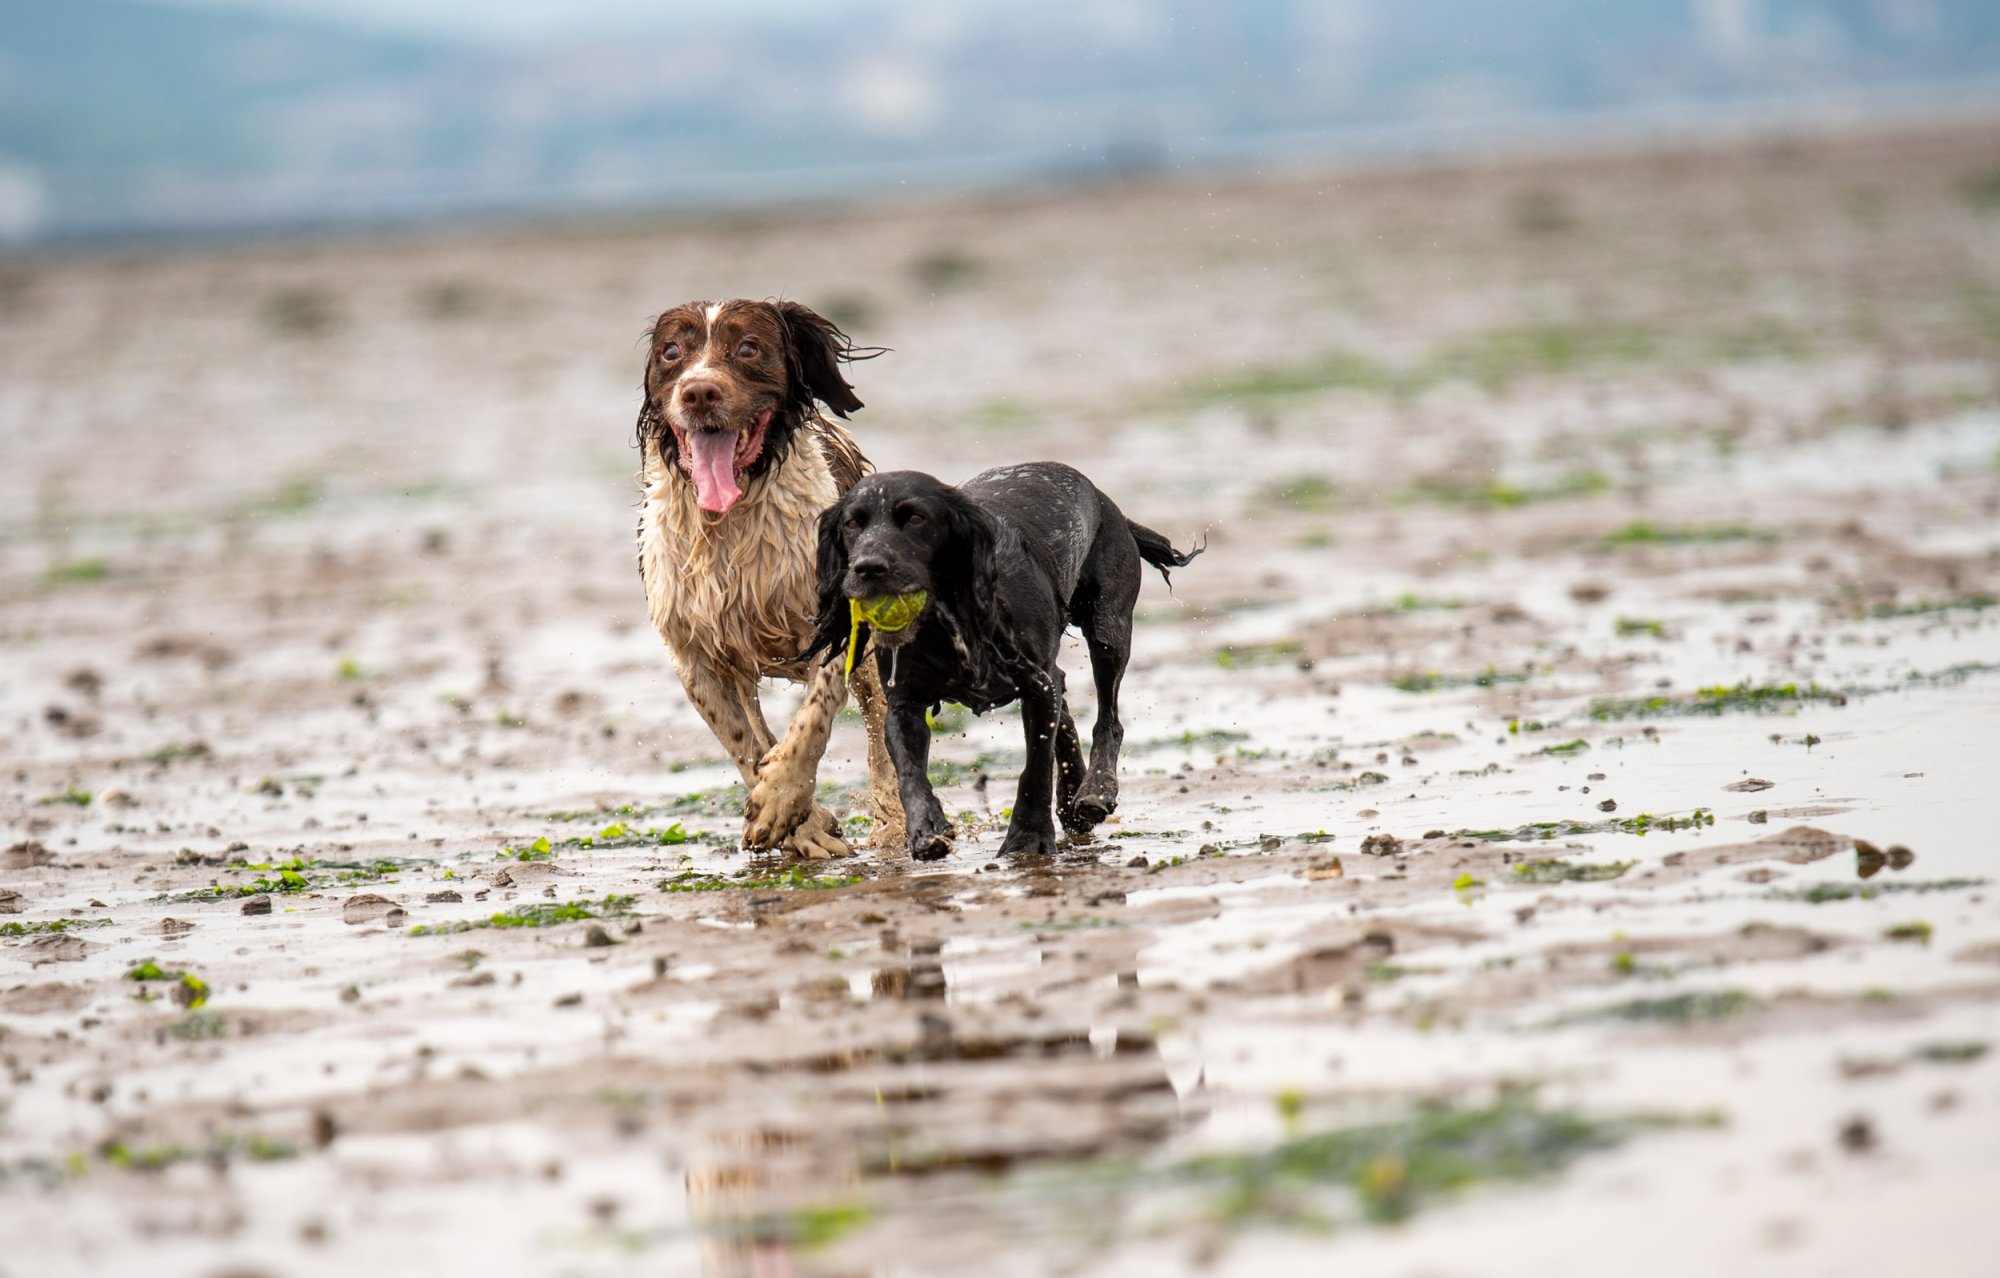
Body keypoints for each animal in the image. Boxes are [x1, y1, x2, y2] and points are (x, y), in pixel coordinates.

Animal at [636, 300, 904, 860]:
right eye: (671, 351)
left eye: (748, 348)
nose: (699, 392)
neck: (728, 524)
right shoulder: (695, 655)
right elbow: (744, 743)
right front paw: (804, 825)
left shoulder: (833, 623)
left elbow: (814, 718)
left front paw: (781, 798)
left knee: (879, 727)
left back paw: (894, 821)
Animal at [804, 462, 1192, 860]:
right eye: (852, 523)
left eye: (915, 517)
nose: (868, 568)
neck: (947, 615)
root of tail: (1106, 501)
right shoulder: (903, 703)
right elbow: (909, 772)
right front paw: (926, 830)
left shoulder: (1036, 687)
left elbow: (1035, 767)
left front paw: (1028, 838)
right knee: (1065, 701)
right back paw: (1071, 796)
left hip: (1108, 629)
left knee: (1108, 719)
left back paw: (1096, 790)